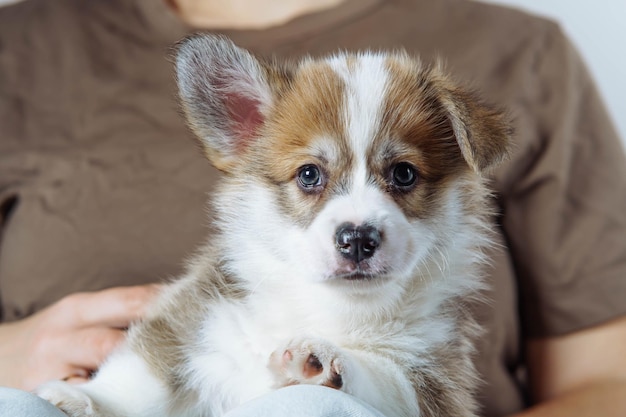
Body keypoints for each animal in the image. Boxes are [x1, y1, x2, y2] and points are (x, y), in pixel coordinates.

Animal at [35, 35, 508, 416]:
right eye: (309, 174)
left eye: (404, 174)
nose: (357, 238)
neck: (333, 306)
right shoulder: (192, 313)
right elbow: (140, 374)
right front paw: (82, 398)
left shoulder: (437, 378)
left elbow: (387, 378)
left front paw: (323, 362)